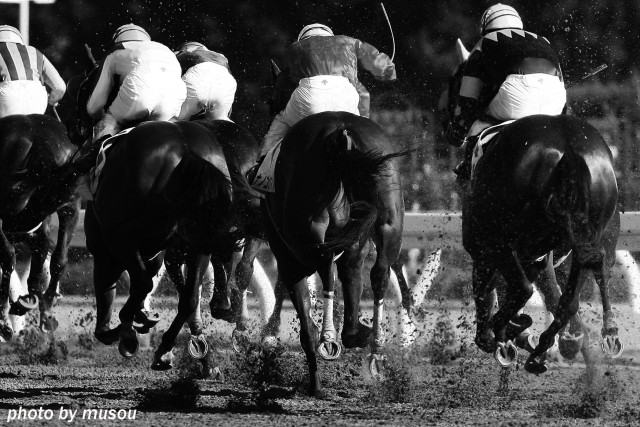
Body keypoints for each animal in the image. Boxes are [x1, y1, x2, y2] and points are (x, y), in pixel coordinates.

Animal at [84, 120, 236, 362]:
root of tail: (187, 149)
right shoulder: (155, 253)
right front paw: (142, 318)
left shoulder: (107, 249)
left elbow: (113, 296)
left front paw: (124, 330)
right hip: (199, 244)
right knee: (189, 299)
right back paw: (165, 348)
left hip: (122, 238)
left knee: (145, 284)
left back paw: (129, 330)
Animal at [264, 111, 404, 398]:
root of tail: (340, 133)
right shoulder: (354, 252)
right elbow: (353, 287)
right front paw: (356, 332)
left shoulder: (290, 262)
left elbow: (307, 328)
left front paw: (316, 383)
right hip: (388, 216)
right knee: (380, 273)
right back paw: (375, 346)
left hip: (310, 224)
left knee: (327, 269)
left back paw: (329, 339)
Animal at [442, 40, 624, 374]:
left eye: (455, 81)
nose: (451, 130)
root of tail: (569, 150)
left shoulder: (483, 242)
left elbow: (489, 288)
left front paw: (504, 334)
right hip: (591, 234)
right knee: (583, 281)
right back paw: (588, 337)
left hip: (508, 239)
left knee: (524, 289)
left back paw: (513, 333)